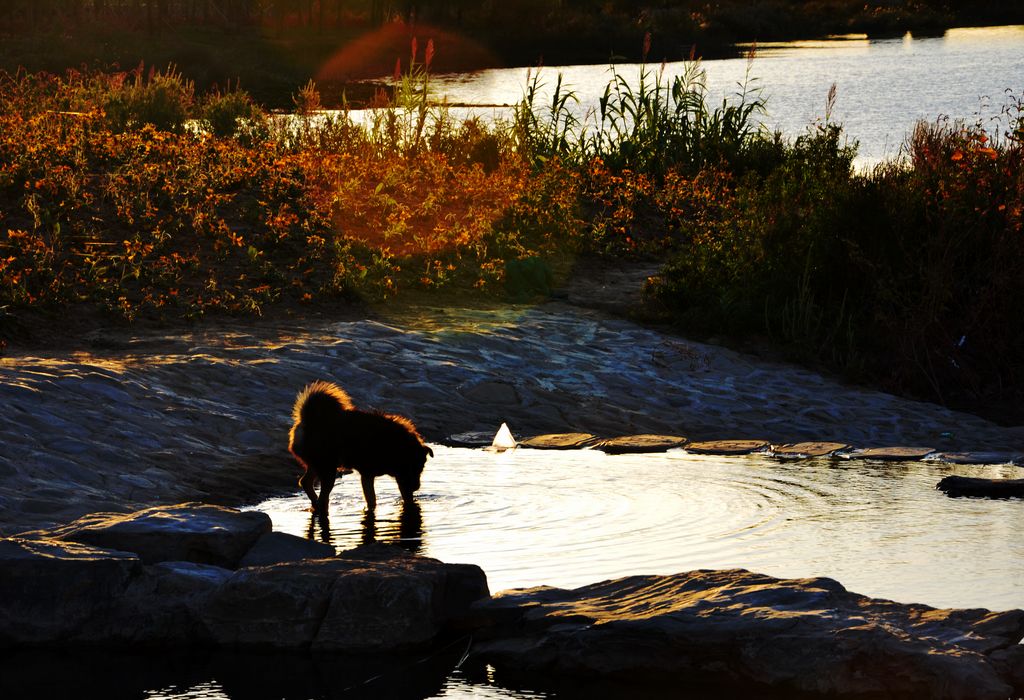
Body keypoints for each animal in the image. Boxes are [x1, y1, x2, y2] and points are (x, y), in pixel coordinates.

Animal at [288, 382, 432, 513]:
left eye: (421, 469)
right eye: (414, 468)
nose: (416, 487)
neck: (396, 445)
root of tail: (308, 420)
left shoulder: (398, 478)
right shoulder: (369, 475)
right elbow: (372, 499)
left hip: (319, 464)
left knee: (306, 482)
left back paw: (314, 504)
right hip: (327, 469)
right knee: (322, 495)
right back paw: (320, 507)